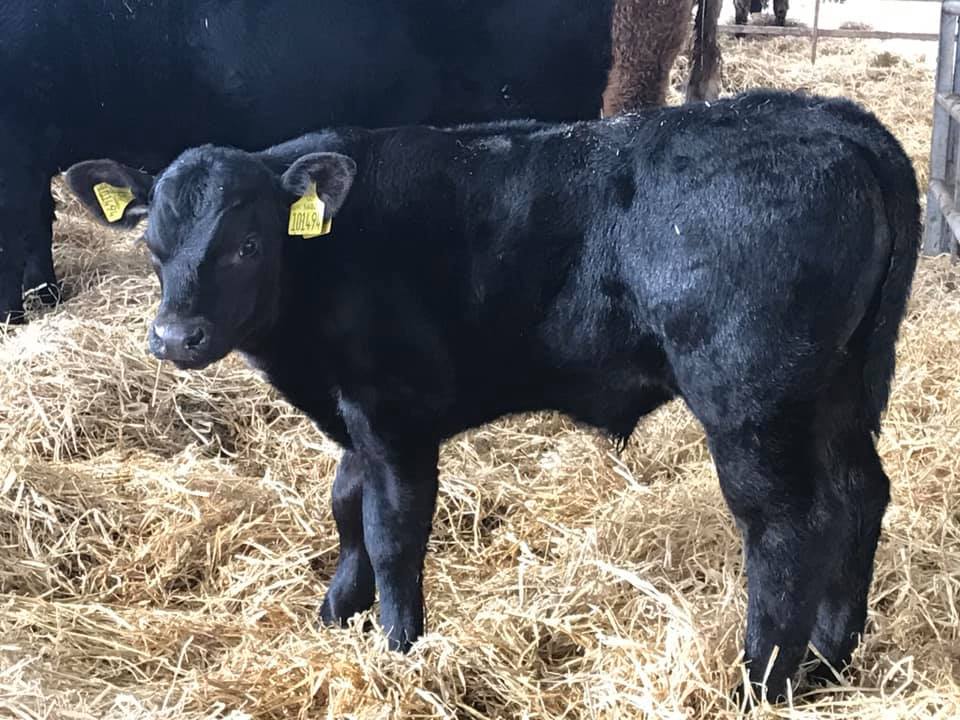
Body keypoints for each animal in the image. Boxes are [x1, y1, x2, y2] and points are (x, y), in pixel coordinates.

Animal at [64, 88, 919, 699]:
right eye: (152, 244)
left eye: (247, 244)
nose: (174, 337)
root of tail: (825, 115)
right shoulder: (356, 421)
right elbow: (345, 509)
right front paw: (335, 615)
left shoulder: (396, 417)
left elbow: (392, 531)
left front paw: (398, 648)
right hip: (842, 387)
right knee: (860, 494)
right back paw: (830, 662)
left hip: (752, 401)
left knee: (786, 527)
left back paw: (761, 684)